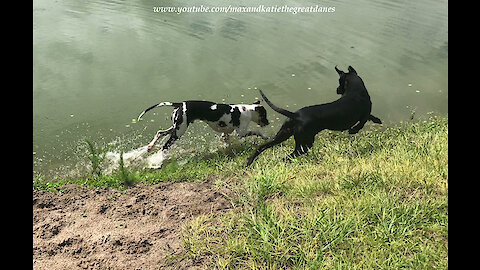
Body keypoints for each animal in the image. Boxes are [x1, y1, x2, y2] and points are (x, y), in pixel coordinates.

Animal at [137, 100, 268, 152]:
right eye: (265, 115)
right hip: (178, 132)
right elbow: (257, 132)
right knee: (164, 146)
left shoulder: (225, 133)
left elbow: (227, 141)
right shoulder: (241, 133)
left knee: (159, 133)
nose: (268, 123)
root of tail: (180, 104)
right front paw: (265, 137)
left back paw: (150, 147)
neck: (247, 111)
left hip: (176, 128)